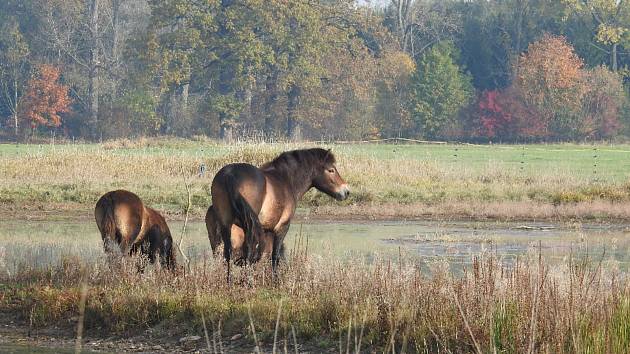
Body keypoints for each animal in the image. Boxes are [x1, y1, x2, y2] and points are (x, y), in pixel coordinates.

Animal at [211, 147, 350, 280]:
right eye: (331, 170)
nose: (346, 191)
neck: (285, 179)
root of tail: (230, 174)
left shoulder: (266, 230)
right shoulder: (282, 227)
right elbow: (275, 255)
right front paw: (275, 280)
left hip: (226, 225)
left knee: (228, 253)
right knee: (248, 252)